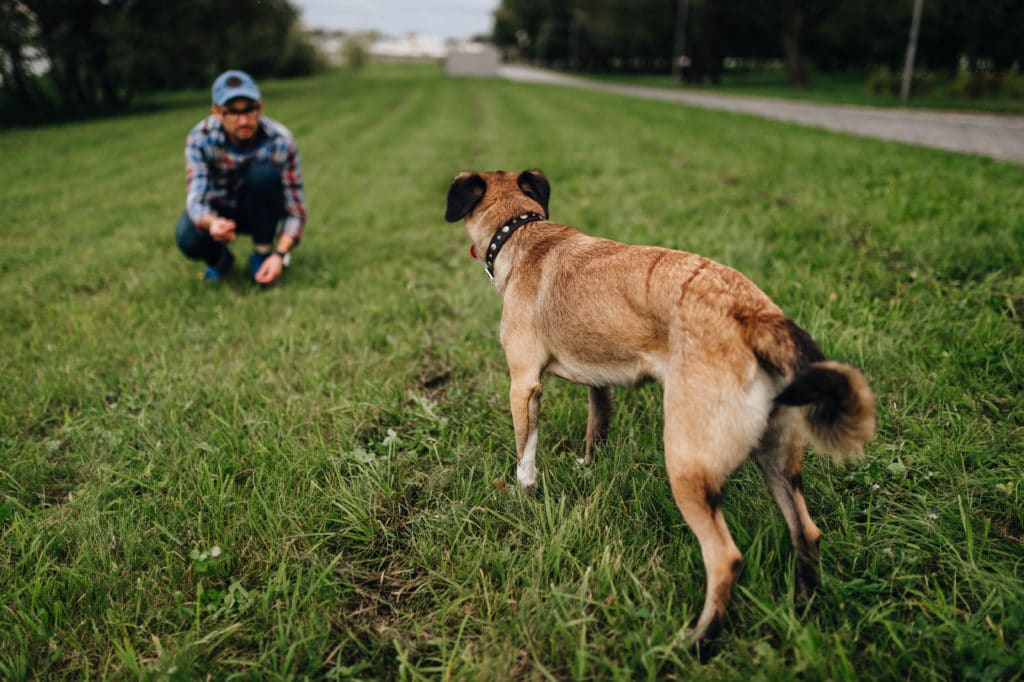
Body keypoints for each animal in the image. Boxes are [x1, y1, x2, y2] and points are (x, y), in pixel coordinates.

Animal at [444, 168, 876, 647]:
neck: (521, 230)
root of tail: (752, 312)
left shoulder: (523, 385)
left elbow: (526, 451)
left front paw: (525, 494)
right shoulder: (600, 383)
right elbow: (597, 426)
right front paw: (591, 466)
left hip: (687, 462)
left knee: (724, 556)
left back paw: (698, 642)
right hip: (779, 454)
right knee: (807, 532)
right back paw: (804, 605)